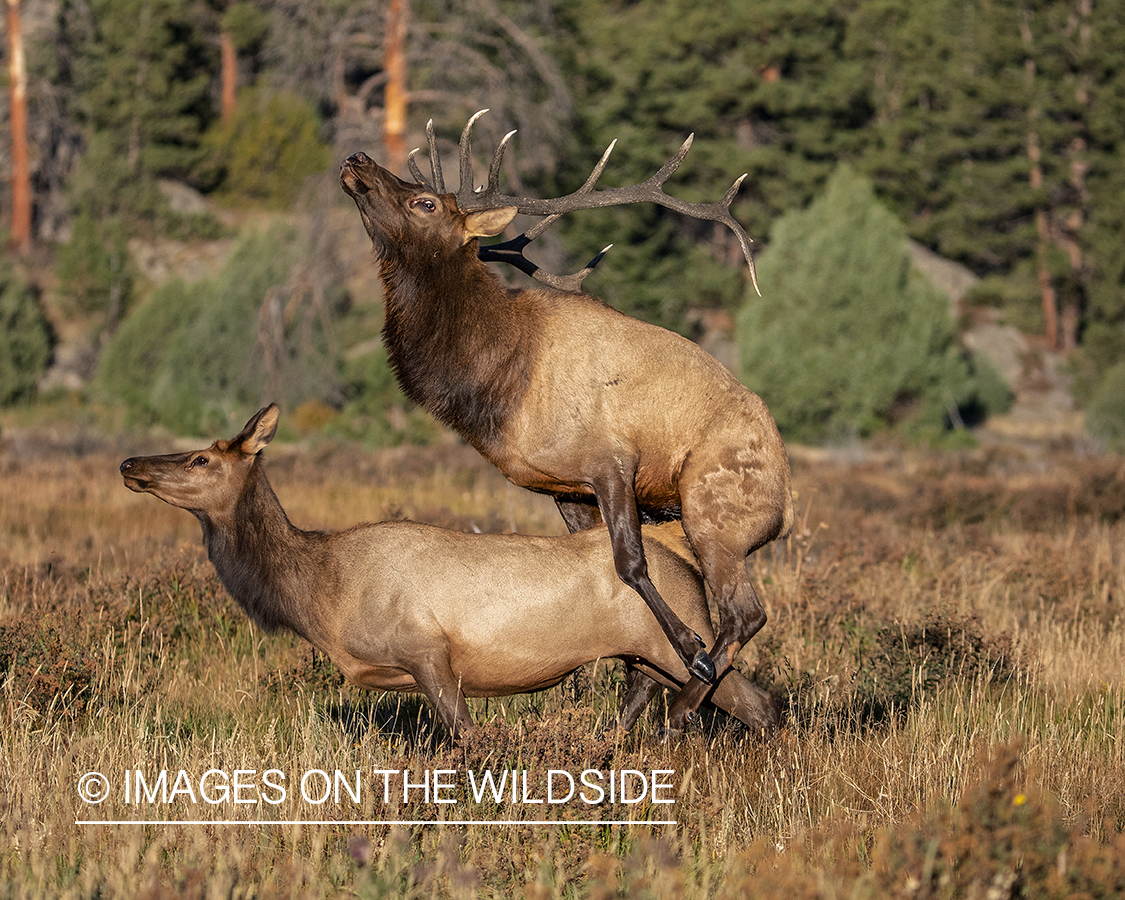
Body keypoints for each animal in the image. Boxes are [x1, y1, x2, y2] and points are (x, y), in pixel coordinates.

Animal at [118, 405, 778, 742]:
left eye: (201, 458)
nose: (130, 463)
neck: (320, 594)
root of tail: (686, 565)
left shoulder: (427, 650)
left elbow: (468, 740)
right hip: (643, 657)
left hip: (677, 643)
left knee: (758, 700)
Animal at [337, 114, 796, 729]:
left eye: (425, 202)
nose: (357, 158)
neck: (499, 382)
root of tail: (786, 503)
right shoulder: (565, 489)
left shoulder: (611, 461)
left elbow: (630, 564)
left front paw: (687, 648)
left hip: (716, 511)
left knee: (746, 614)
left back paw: (681, 706)